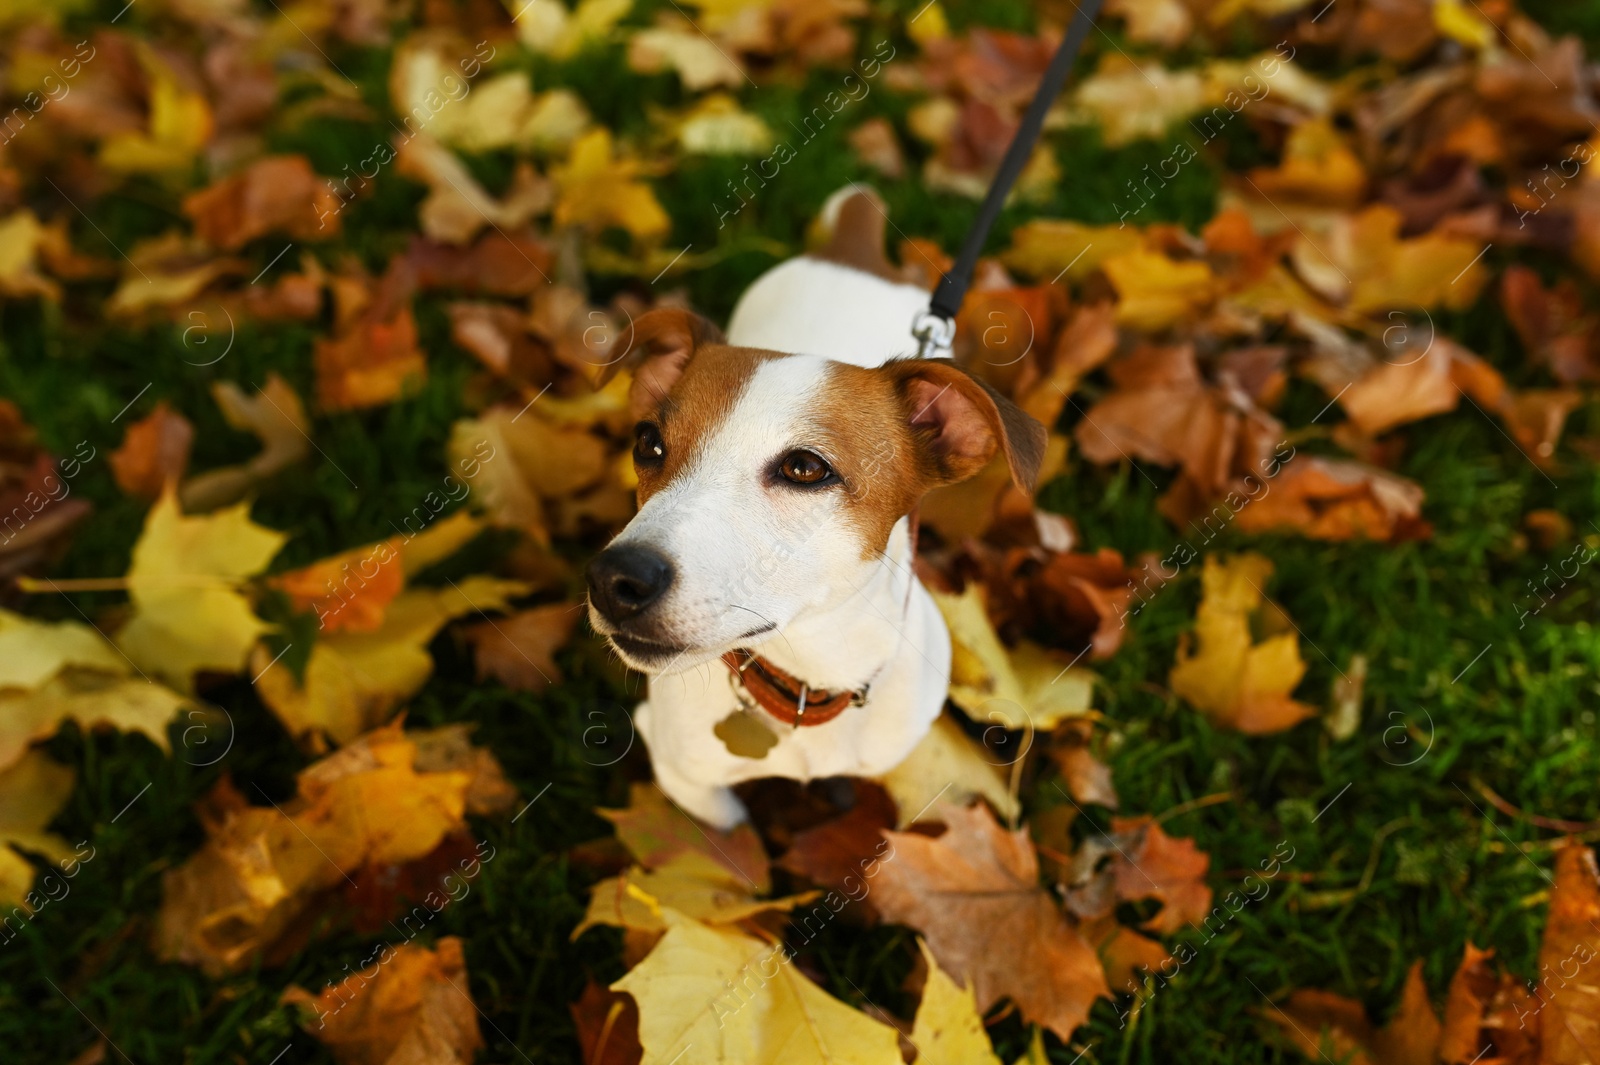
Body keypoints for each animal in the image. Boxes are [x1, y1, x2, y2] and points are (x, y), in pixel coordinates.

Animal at [582, 186, 1043, 825]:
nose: (614, 578)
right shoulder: (687, 778)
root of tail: (850, 249)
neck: (807, 677)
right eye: (648, 444)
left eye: (805, 468)